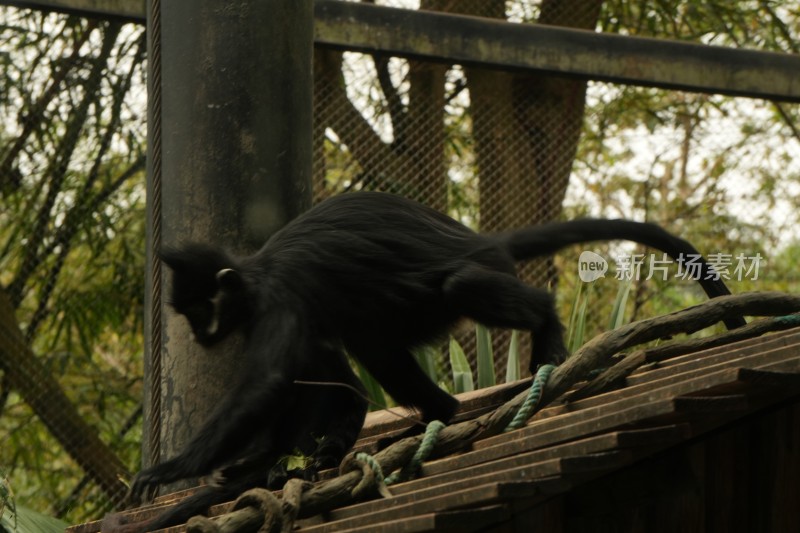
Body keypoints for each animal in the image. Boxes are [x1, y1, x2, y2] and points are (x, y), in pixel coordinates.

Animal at [120, 191, 744, 528]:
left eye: (199, 310)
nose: (196, 332)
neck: (253, 278)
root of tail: (477, 239)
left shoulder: (280, 299)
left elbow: (272, 380)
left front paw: (169, 469)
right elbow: (324, 381)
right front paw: (267, 463)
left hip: (448, 285)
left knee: (456, 288)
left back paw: (539, 332)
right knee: (369, 346)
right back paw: (432, 415)